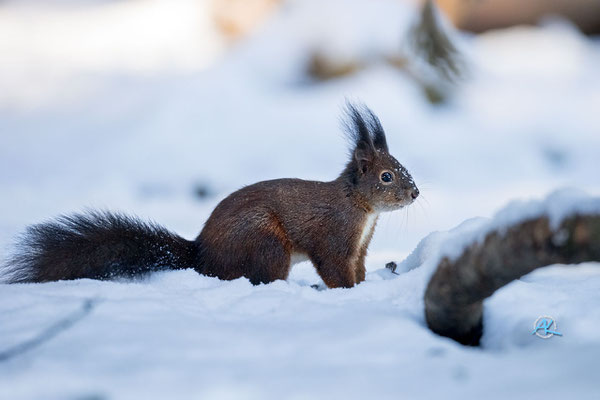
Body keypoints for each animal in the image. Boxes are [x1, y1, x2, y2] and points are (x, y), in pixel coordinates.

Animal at [4, 104, 418, 288]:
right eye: (386, 176)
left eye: (402, 167)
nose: (414, 192)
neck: (359, 206)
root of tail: (202, 256)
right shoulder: (333, 236)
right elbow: (334, 268)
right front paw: (347, 292)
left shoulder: (360, 246)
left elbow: (358, 268)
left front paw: (366, 286)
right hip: (266, 243)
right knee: (259, 277)